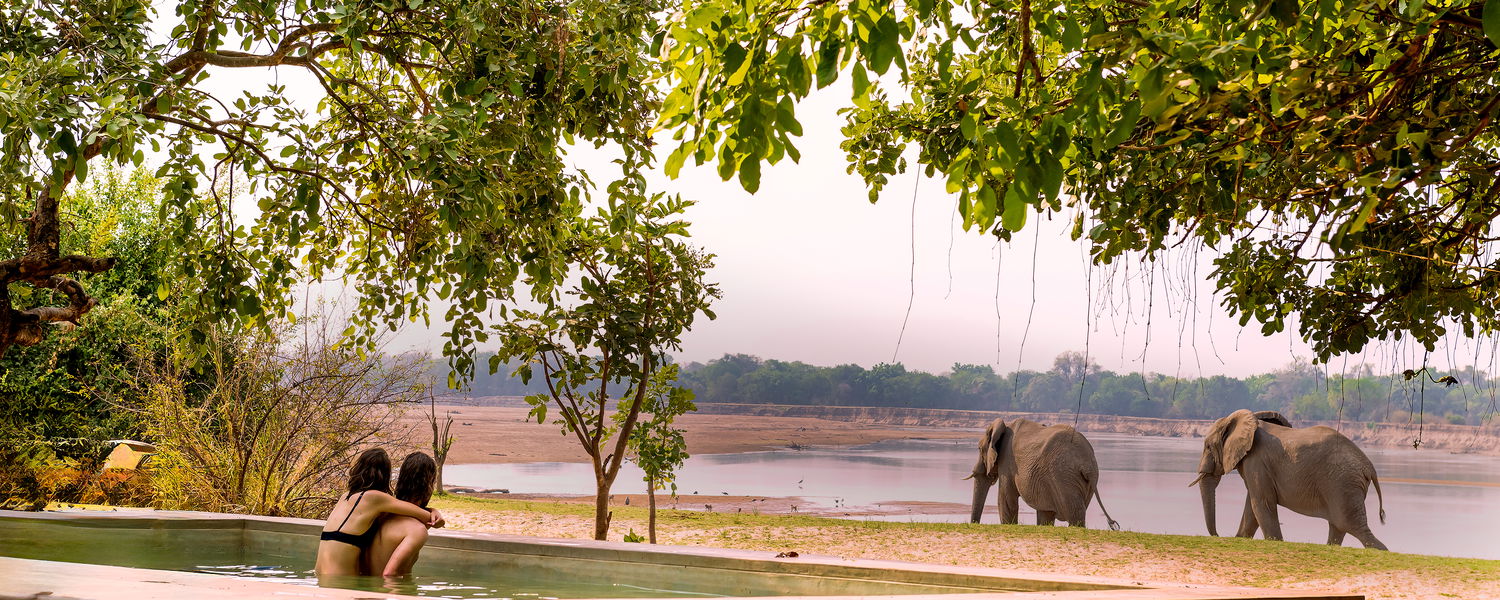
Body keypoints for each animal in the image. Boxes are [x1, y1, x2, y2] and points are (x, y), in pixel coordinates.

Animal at [966, 420, 1122, 528]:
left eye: (979, 449)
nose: (974, 524)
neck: (1005, 425)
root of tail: (1088, 463)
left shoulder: (1008, 463)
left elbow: (1006, 499)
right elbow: (1044, 512)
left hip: (1063, 476)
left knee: (1075, 513)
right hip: (1082, 482)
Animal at [1188, 408, 1386, 549]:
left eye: (1208, 446)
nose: (1218, 535)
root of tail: (1369, 467)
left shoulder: (1257, 461)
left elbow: (1261, 503)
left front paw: (1274, 542)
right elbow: (1252, 506)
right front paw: (1241, 539)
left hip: (1342, 483)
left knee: (1349, 525)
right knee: (1338, 527)